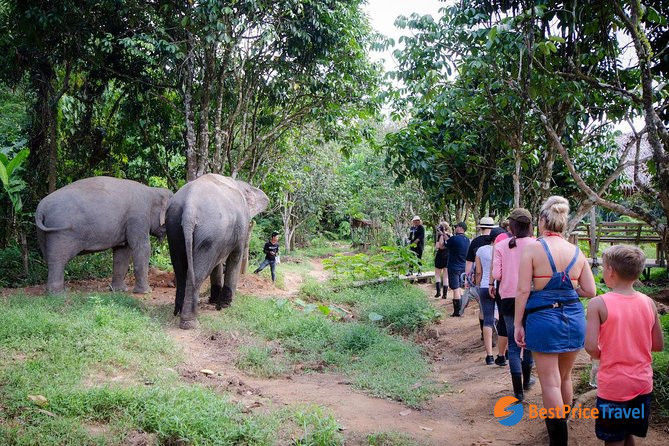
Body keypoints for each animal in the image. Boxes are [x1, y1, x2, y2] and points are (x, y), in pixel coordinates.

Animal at [35, 176, 173, 294]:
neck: (152, 190)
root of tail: (40, 209)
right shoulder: (138, 217)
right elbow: (141, 247)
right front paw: (146, 292)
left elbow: (122, 251)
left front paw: (119, 290)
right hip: (60, 232)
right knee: (58, 259)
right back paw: (58, 294)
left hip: (42, 233)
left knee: (48, 258)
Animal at [166, 174, 269, 329]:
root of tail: (190, 206)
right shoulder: (240, 227)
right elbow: (235, 257)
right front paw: (225, 305)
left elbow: (217, 263)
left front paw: (214, 301)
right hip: (210, 231)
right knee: (197, 273)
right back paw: (190, 322)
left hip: (174, 225)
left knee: (180, 269)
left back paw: (177, 312)